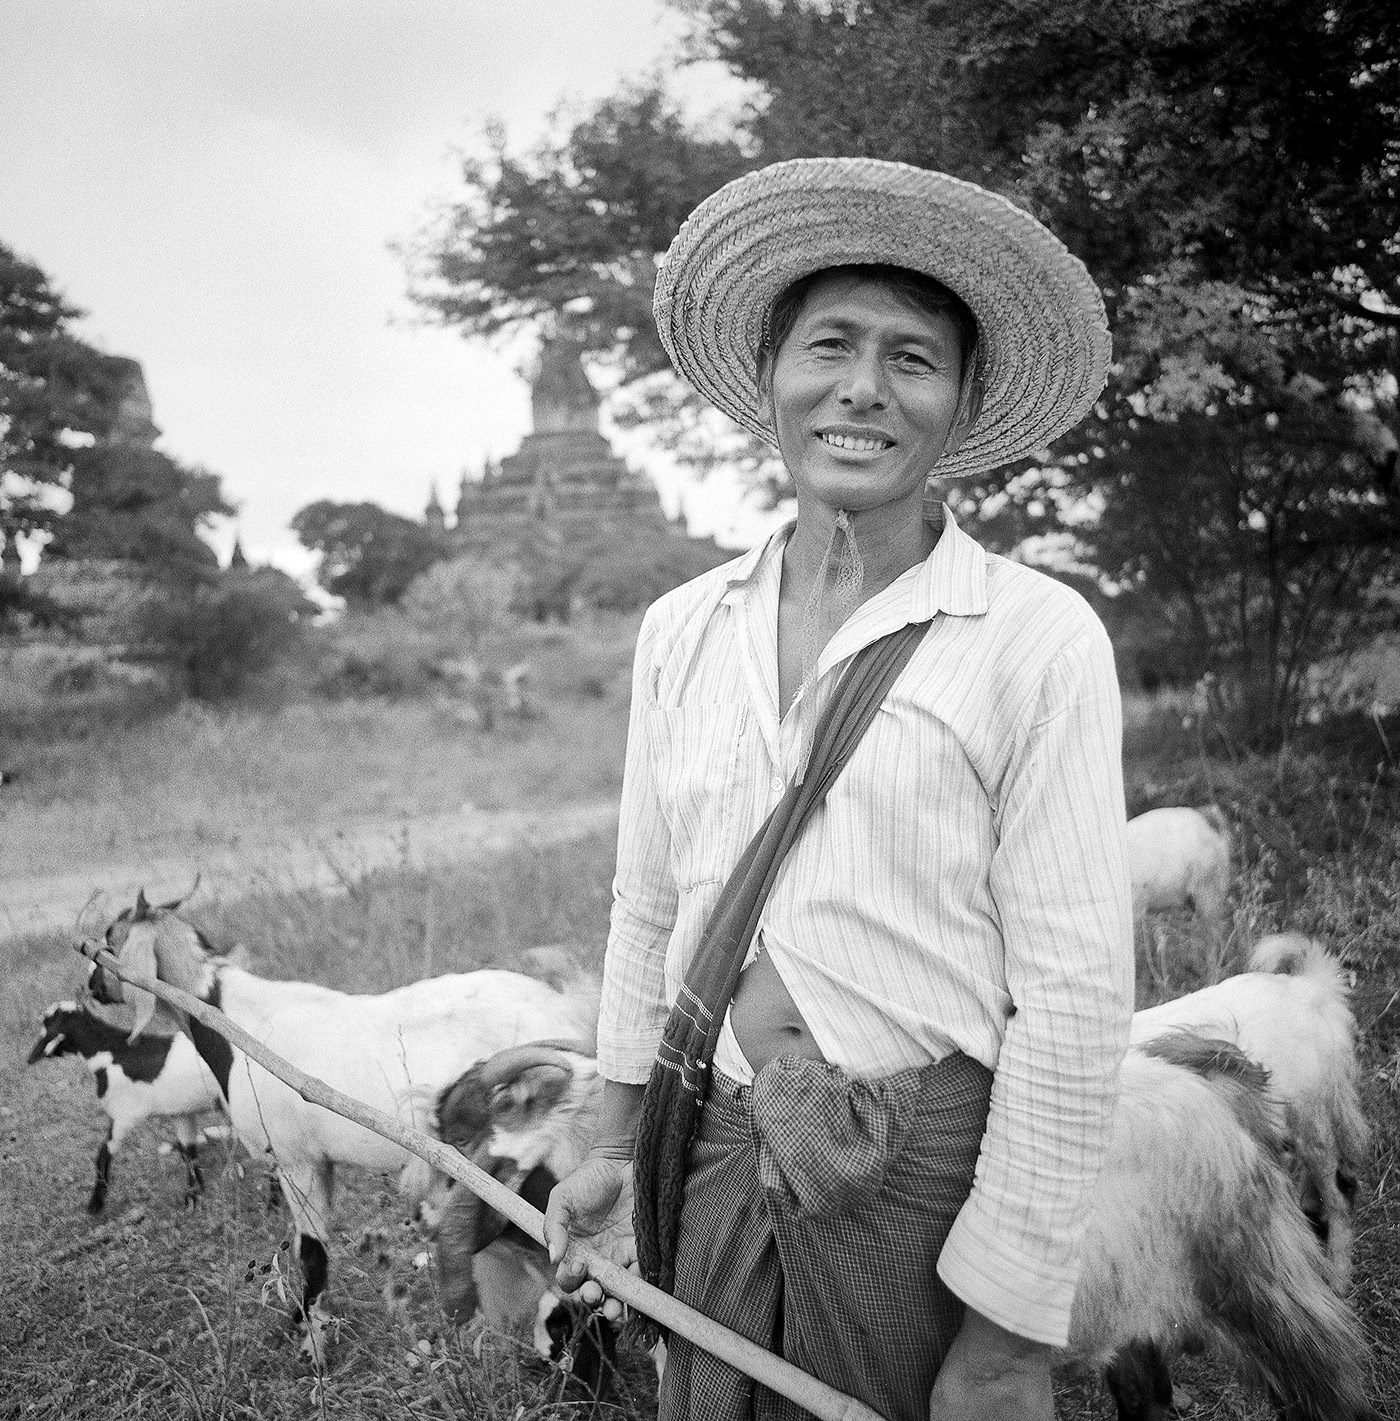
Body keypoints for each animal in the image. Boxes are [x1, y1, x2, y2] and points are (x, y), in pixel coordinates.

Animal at [28, 1000, 224, 1210]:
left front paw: (95, 1204)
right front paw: (194, 1196)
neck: (112, 1051)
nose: (30, 1058)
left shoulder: (124, 1115)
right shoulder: (180, 1112)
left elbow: (103, 1154)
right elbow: (189, 1153)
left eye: (46, 1024)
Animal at [82, 886, 594, 1364]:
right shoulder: (320, 1162)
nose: (91, 985)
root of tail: (568, 1013)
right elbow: (308, 1246)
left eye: (111, 934)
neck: (234, 1022)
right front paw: (303, 1319)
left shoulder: (296, 1160)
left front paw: (312, 1343)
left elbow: (311, 1251)